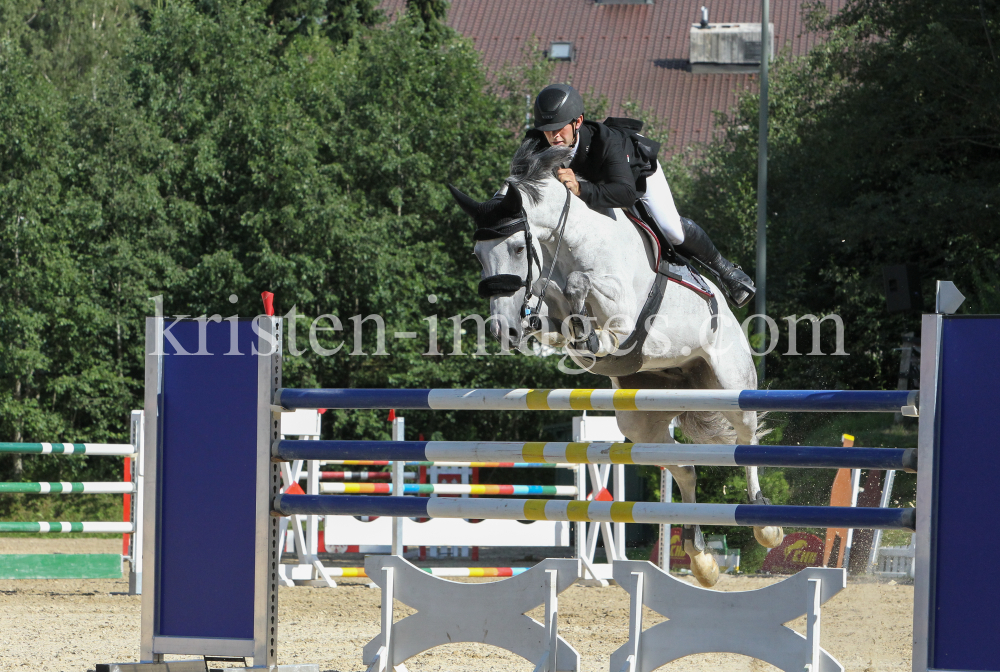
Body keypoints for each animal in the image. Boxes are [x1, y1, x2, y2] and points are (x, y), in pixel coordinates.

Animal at [450, 143, 784, 588]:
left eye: (519, 248)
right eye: (477, 254)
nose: (503, 330)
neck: (571, 239)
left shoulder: (622, 312)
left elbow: (580, 287)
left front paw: (583, 325)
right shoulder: (554, 311)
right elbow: (557, 306)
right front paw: (565, 327)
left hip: (730, 385)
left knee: (745, 444)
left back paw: (766, 524)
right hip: (641, 421)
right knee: (685, 469)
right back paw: (701, 559)